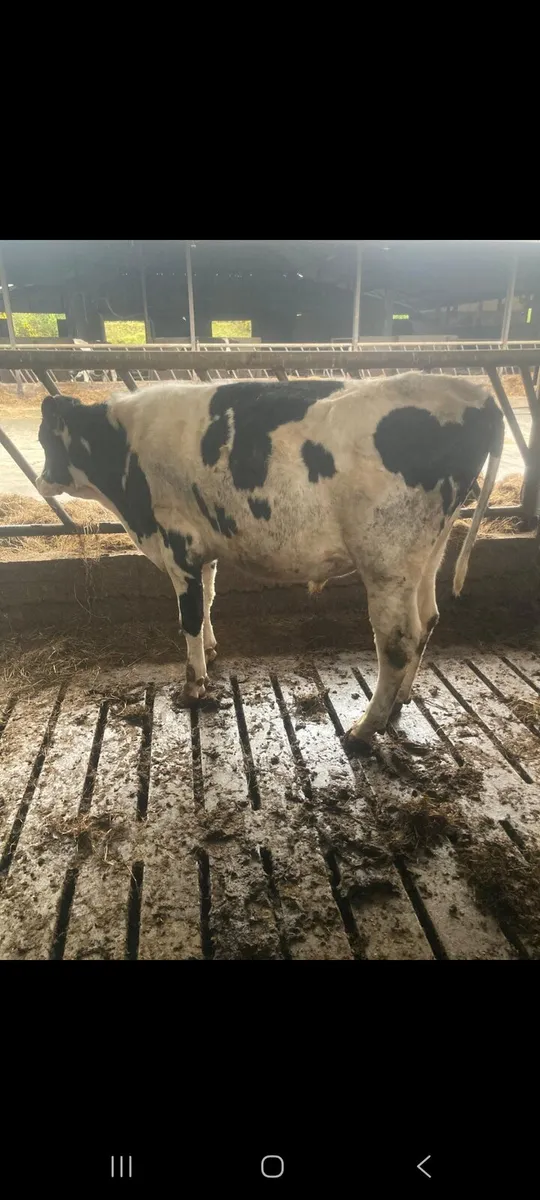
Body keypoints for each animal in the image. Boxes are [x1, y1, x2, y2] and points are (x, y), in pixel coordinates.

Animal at [35, 373, 504, 753]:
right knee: (428, 619)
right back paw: (400, 701)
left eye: (44, 439)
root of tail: (476, 394)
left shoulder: (178, 542)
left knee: (398, 643)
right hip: (428, 553)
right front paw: (211, 650)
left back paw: (363, 730)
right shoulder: (204, 548)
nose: (40, 481)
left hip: (387, 561)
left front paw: (193, 687)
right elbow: (208, 598)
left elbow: (189, 616)